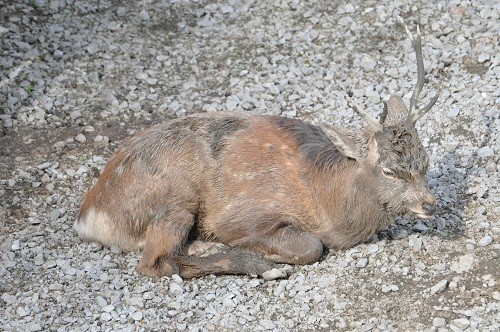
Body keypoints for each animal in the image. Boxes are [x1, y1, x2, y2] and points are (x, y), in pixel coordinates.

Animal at [74, 17, 438, 278]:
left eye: (425, 161)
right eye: (389, 170)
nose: (430, 204)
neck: (328, 202)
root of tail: (90, 214)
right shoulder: (242, 215)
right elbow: (311, 245)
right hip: (175, 197)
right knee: (154, 262)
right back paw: (251, 263)